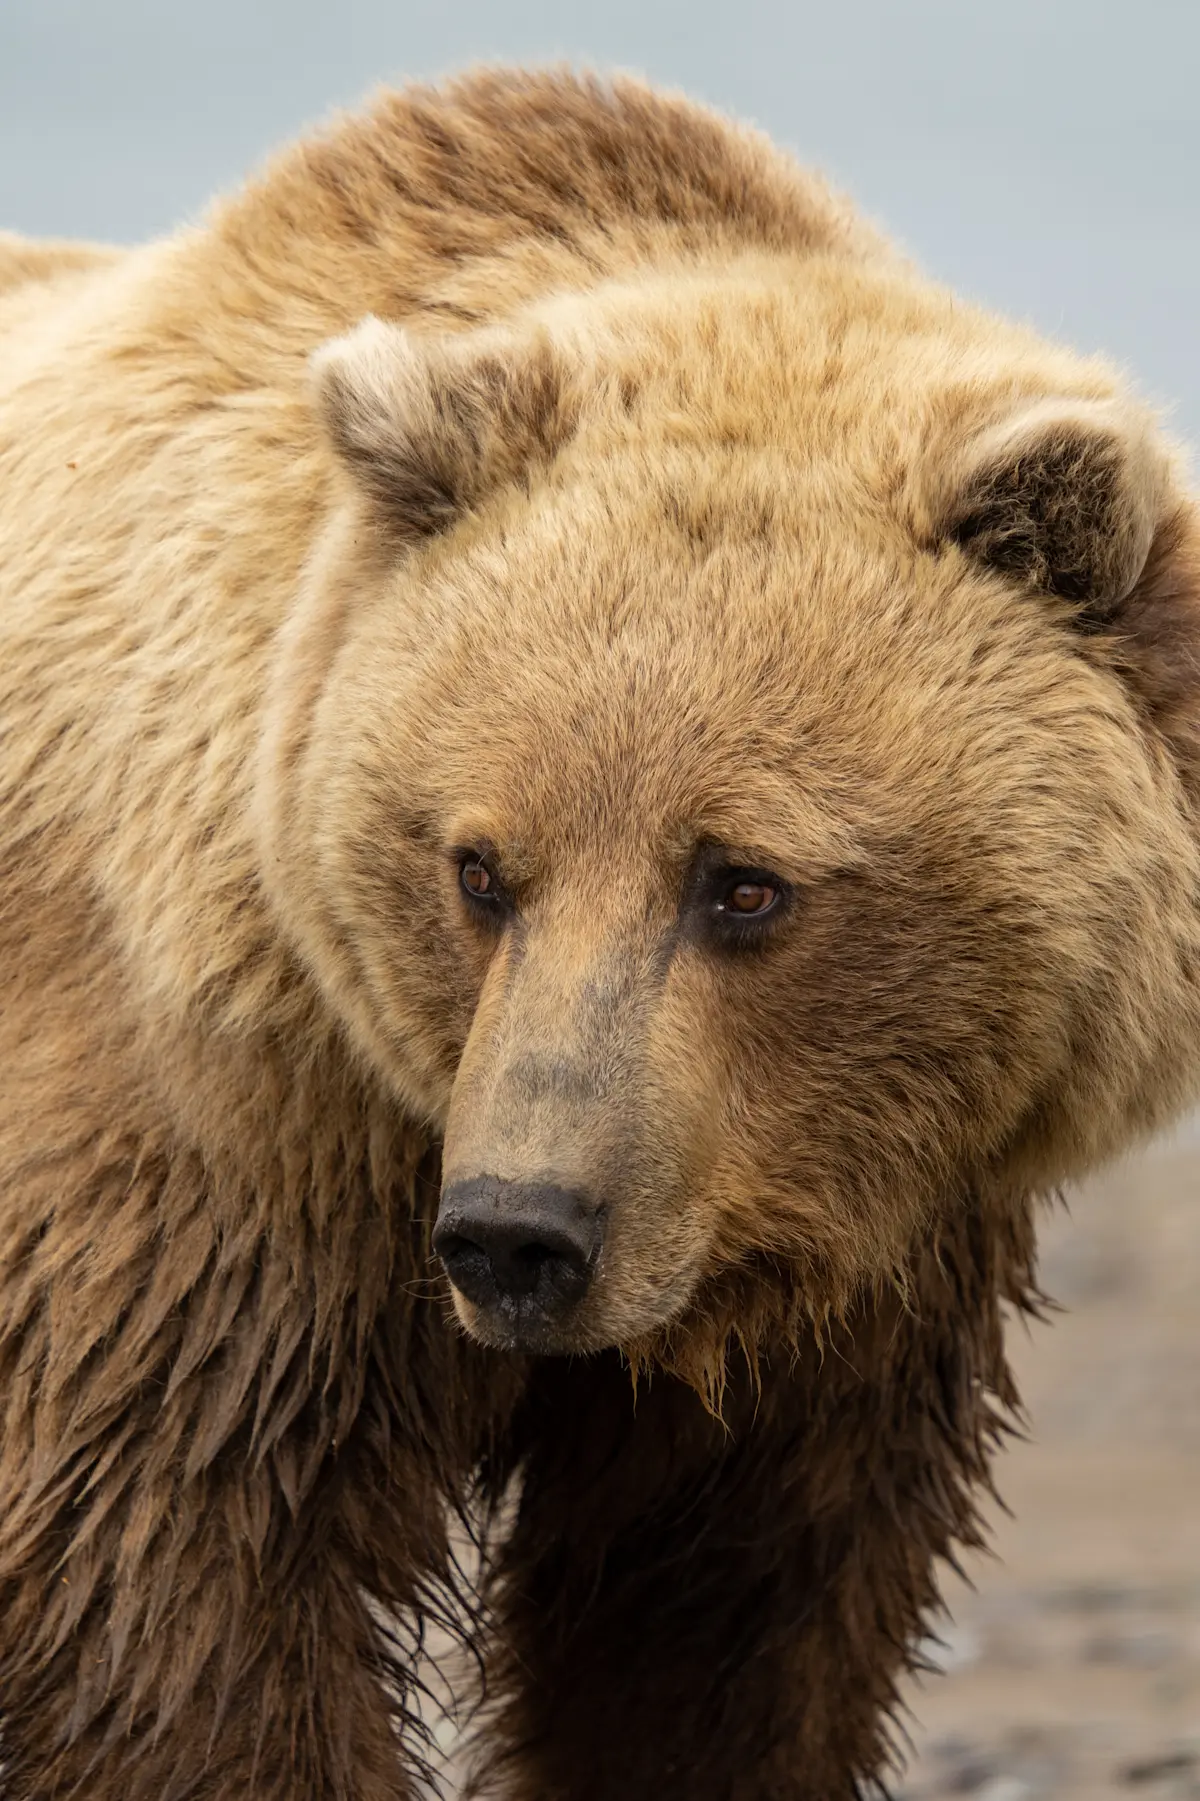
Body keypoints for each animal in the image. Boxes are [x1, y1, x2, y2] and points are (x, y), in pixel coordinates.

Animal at [2, 65, 1199, 1801]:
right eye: (481, 867)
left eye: (743, 881)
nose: (519, 1232)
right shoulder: (216, 1165)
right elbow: (169, 1583)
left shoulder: (834, 1268)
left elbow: (713, 1632)